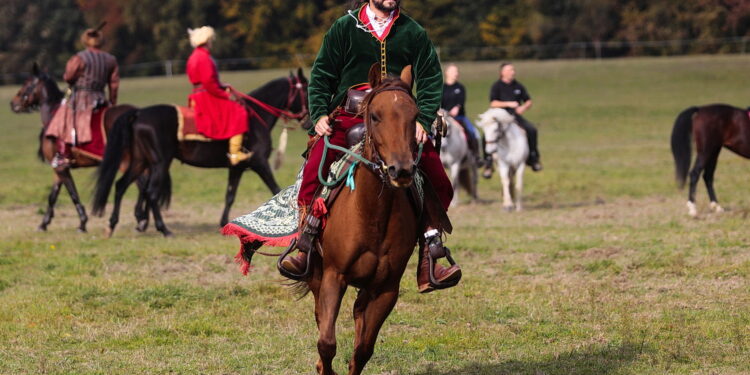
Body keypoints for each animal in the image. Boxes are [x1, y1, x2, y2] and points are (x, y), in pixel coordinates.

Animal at [9, 64, 137, 234]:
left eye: (27, 83)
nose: (13, 103)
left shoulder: (61, 168)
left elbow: (73, 194)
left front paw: (82, 223)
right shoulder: (59, 168)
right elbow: (53, 196)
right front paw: (44, 223)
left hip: (125, 162)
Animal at [92, 69, 310, 236]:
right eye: (307, 88)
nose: (309, 122)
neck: (255, 118)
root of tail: (139, 113)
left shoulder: (237, 168)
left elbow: (230, 195)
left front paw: (223, 224)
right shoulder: (259, 163)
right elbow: (276, 189)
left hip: (140, 161)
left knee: (121, 186)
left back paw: (112, 225)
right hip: (160, 163)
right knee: (151, 193)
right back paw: (164, 229)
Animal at [304, 65, 424, 375]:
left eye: (414, 115)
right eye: (375, 115)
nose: (401, 170)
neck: (372, 216)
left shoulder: (386, 289)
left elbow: (363, 349)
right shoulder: (333, 276)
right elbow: (326, 342)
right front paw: (323, 367)